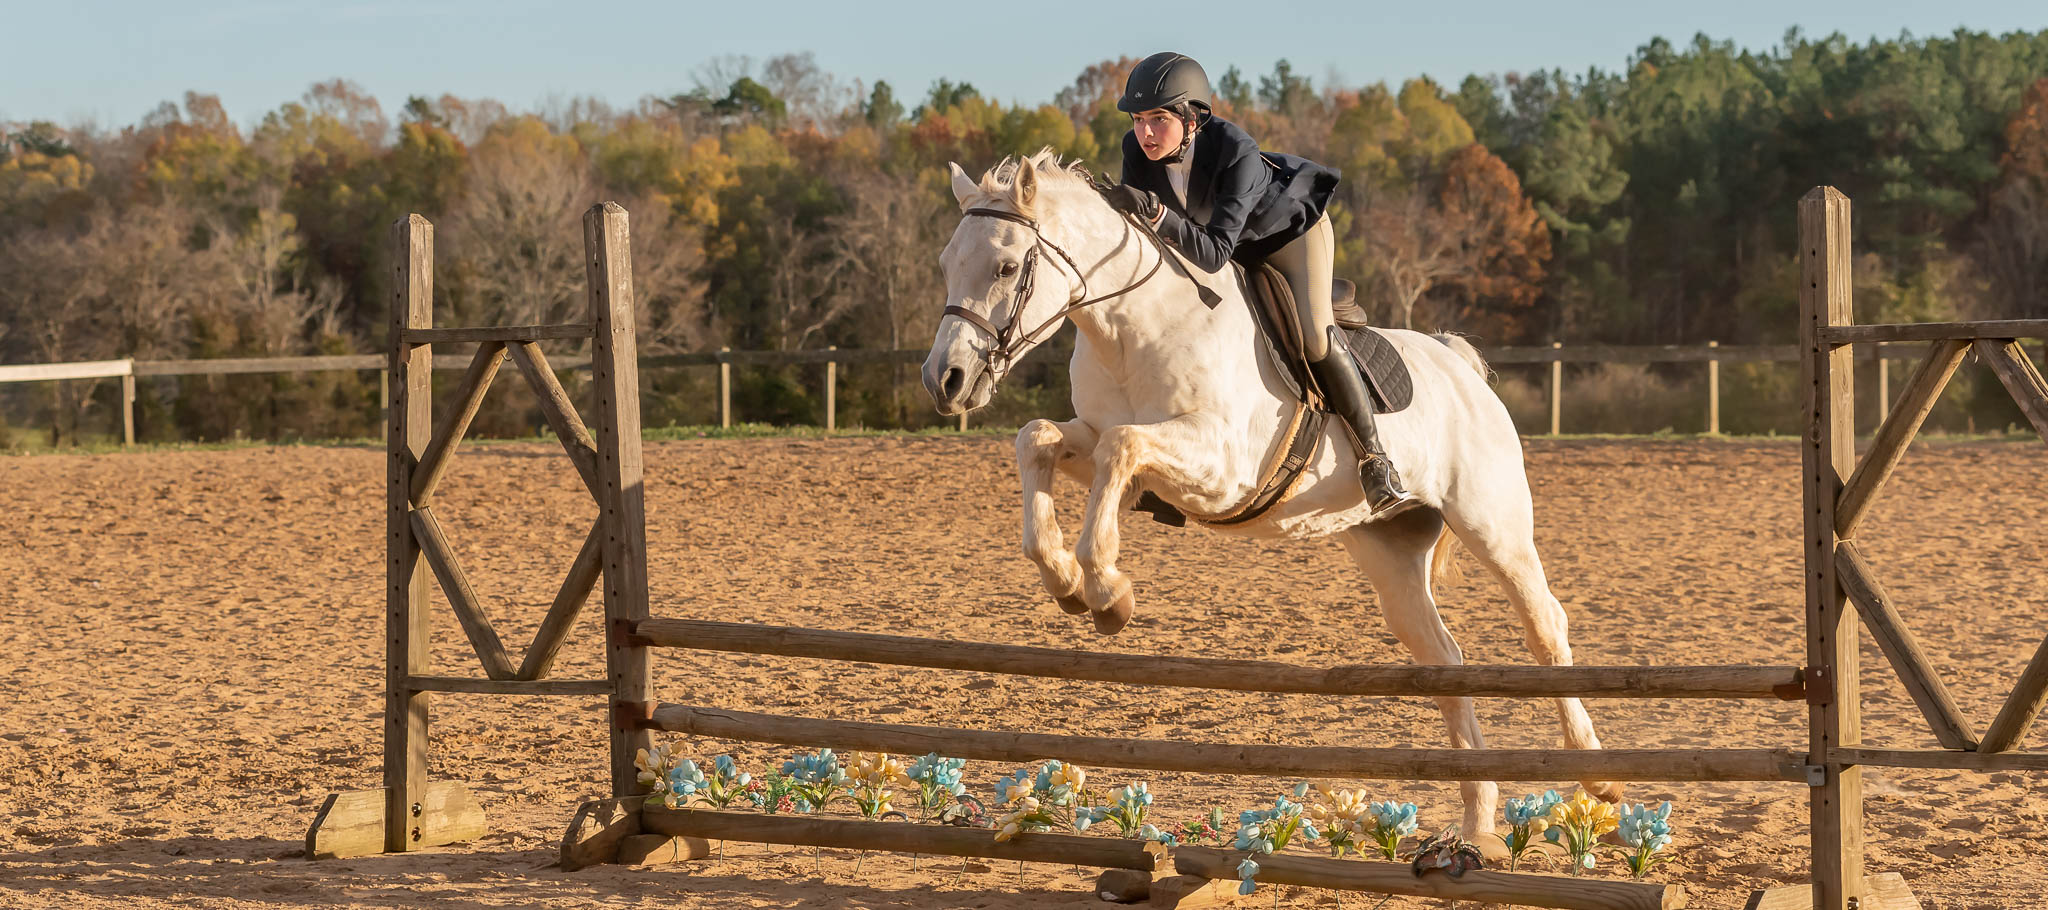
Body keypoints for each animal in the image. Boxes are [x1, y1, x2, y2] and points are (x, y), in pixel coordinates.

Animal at [925, 150, 1613, 840]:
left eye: (1006, 266)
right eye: (946, 264)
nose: (945, 380)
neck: (1132, 328)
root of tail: (1456, 364)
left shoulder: (1223, 464)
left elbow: (1123, 447)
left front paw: (1108, 592)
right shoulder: (1096, 440)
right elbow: (1039, 439)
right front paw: (1066, 579)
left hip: (1493, 523)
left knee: (1545, 625)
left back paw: (1596, 778)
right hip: (1390, 550)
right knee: (1443, 657)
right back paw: (1478, 826)